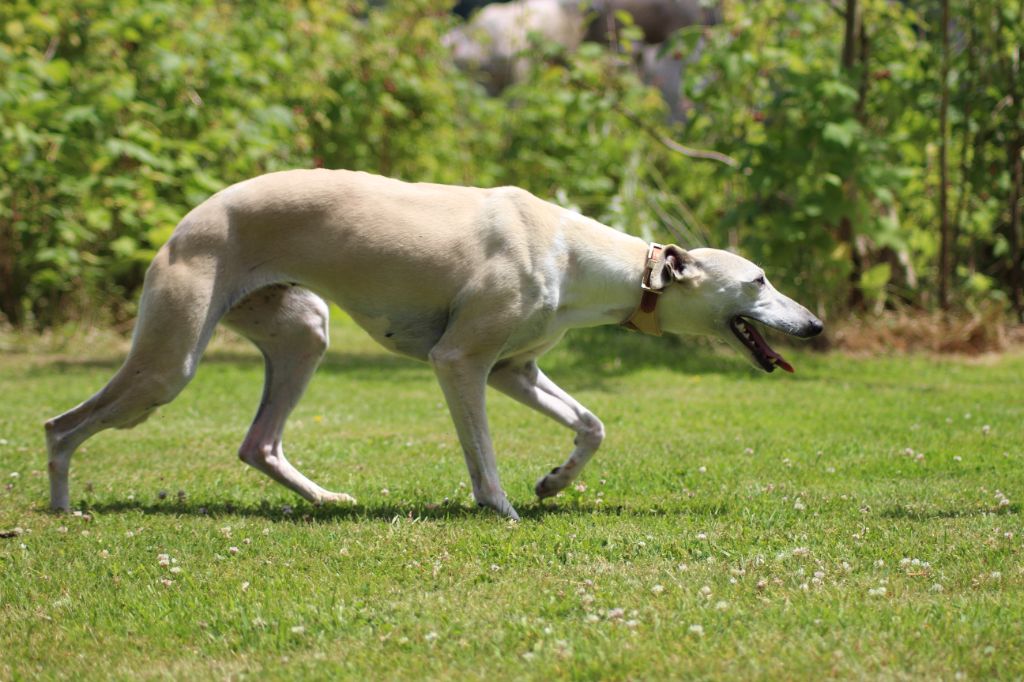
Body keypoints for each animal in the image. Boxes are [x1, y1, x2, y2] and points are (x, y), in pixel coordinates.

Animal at [45, 169, 822, 520]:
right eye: (759, 278)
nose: (815, 326)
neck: (574, 252)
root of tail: (188, 220)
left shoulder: (515, 369)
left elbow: (593, 424)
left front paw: (553, 481)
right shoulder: (461, 363)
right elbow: (482, 453)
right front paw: (503, 508)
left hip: (301, 334)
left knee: (258, 443)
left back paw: (326, 498)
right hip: (170, 362)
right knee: (61, 424)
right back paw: (60, 507)